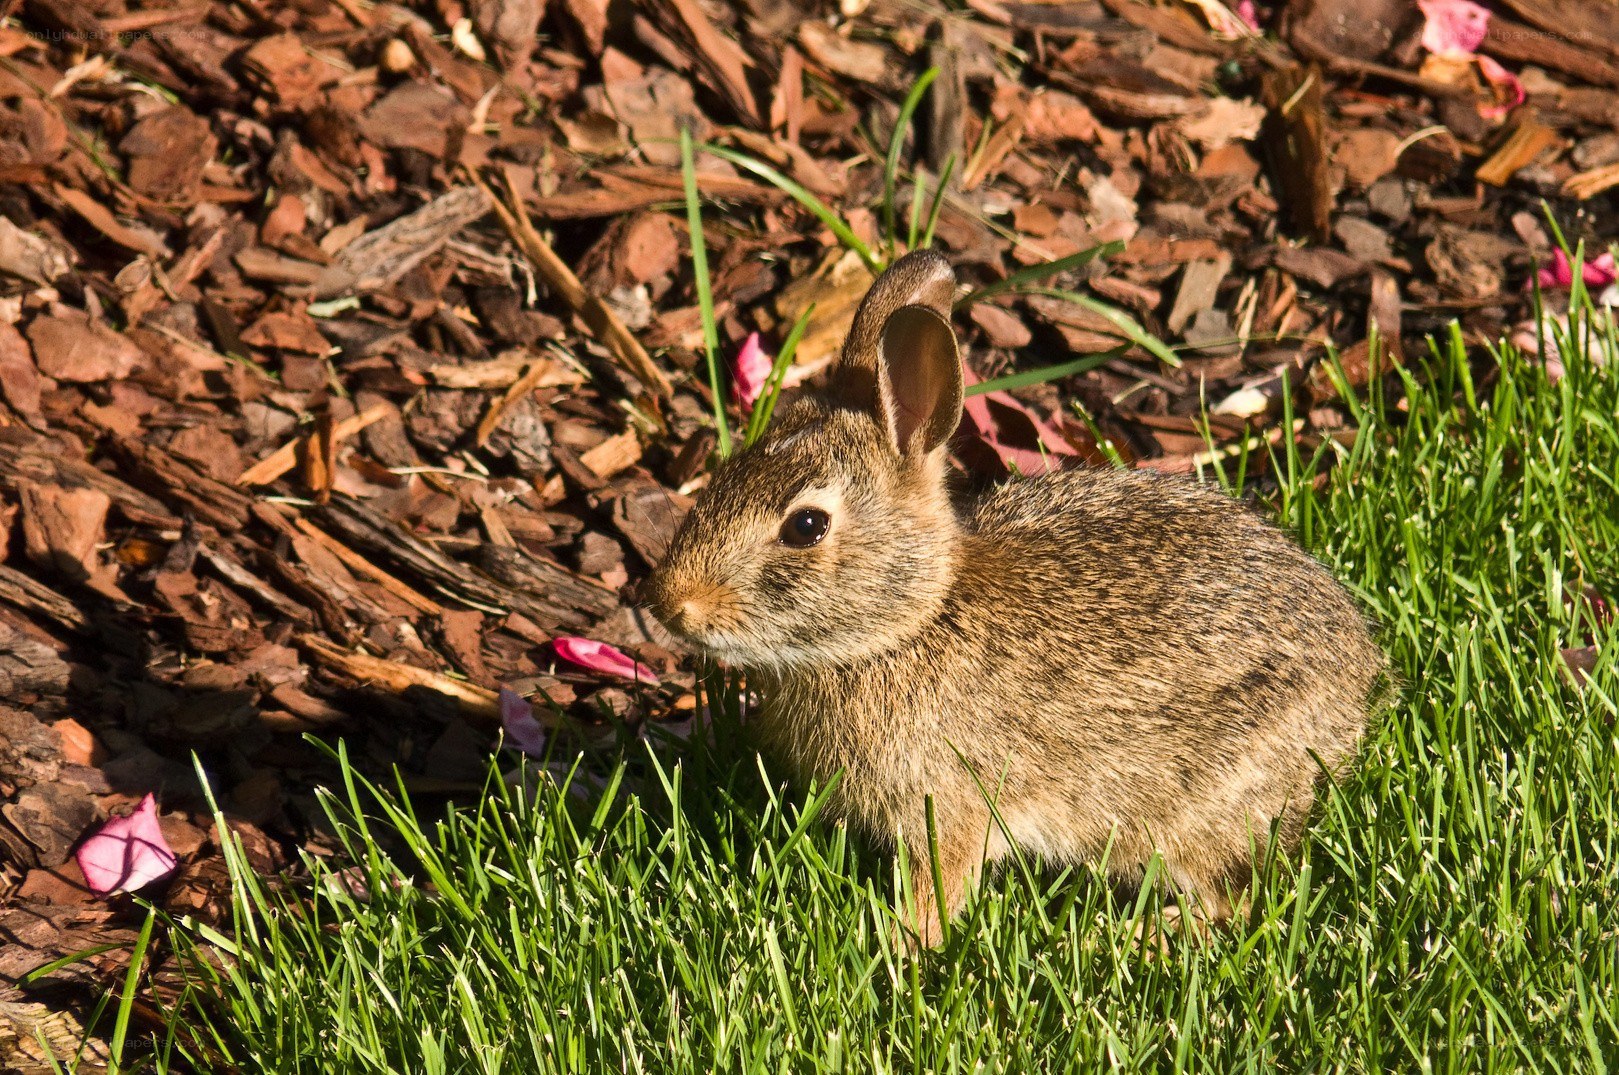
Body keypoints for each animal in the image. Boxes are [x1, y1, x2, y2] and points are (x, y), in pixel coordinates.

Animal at [641, 250, 1389, 948]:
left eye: (805, 526)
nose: (671, 604)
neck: (913, 622)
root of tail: (1358, 679)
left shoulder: (950, 804)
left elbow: (941, 881)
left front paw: (902, 946)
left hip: (1192, 806)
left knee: (1227, 901)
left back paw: (1128, 936)